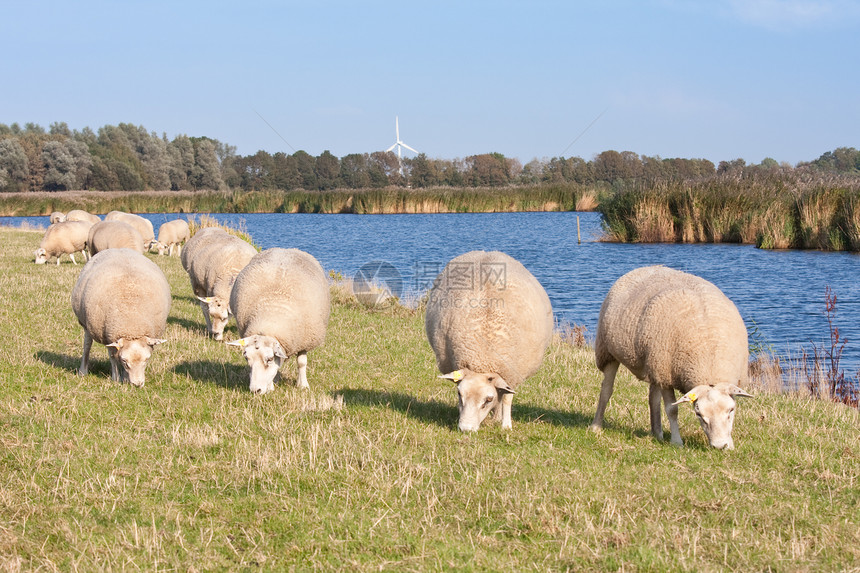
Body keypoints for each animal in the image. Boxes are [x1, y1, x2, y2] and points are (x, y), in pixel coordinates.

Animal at [72, 248, 171, 386]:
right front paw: (116, 378)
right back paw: (83, 371)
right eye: (124, 361)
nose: (138, 384)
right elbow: (113, 358)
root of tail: (117, 248)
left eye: (147, 359)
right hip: (86, 324)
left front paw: (125, 378)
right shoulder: (108, 335)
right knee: (87, 344)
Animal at [228, 248, 330, 396]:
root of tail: (286, 249)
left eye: (270, 359)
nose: (255, 390)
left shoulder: (305, 340)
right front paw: (271, 385)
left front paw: (303, 385)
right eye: (247, 358)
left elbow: (301, 363)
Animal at [424, 250, 552, 428]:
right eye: (459, 394)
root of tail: (487, 252)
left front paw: (506, 425)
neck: (482, 358)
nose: (466, 429)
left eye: (488, 399)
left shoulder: (511, 373)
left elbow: (506, 399)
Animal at [592, 266, 752, 450]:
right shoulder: (666, 376)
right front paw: (677, 442)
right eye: (699, 414)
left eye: (731, 410)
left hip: (653, 362)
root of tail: (646, 267)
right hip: (609, 352)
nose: (719, 446)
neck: (708, 351)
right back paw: (596, 426)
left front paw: (730, 444)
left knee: (652, 398)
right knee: (606, 390)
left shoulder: (662, 371)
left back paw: (657, 433)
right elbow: (672, 410)